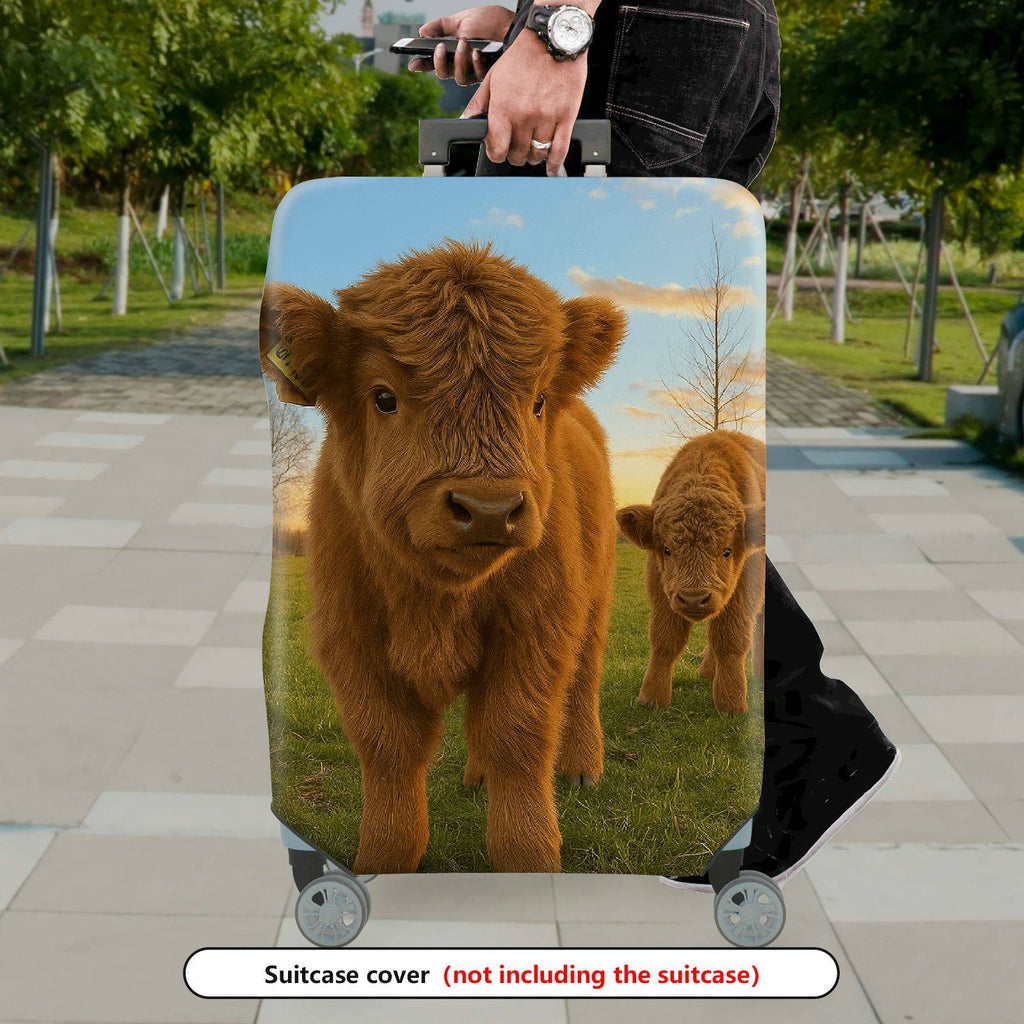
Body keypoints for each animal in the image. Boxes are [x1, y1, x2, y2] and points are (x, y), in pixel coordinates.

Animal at [259, 242, 626, 874]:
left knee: (583, 679)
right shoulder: (351, 638)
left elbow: (518, 739)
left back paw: (582, 767)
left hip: (595, 596)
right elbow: (390, 754)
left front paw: (533, 862)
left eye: (536, 400)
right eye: (384, 397)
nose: (488, 509)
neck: (437, 600)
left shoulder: (538, 626)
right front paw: (380, 863)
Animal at [615, 430, 765, 716]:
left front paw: (731, 704)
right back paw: (708, 671)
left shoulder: (743, 594)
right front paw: (651, 697)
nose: (694, 598)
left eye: (727, 551)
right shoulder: (662, 592)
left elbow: (730, 639)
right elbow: (664, 639)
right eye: (666, 549)